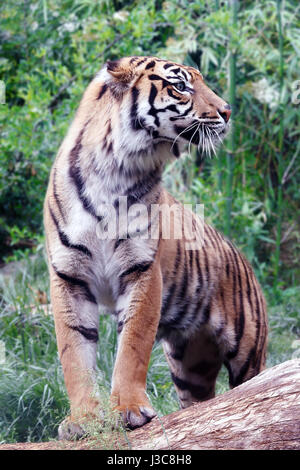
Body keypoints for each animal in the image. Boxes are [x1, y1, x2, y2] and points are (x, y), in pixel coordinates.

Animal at [44, 56, 268, 440]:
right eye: (180, 86)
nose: (227, 111)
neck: (115, 170)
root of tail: (243, 259)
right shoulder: (68, 275)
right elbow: (74, 352)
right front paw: (83, 420)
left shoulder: (142, 270)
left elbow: (132, 346)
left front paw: (130, 410)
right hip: (190, 366)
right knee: (204, 405)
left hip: (249, 352)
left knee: (252, 387)